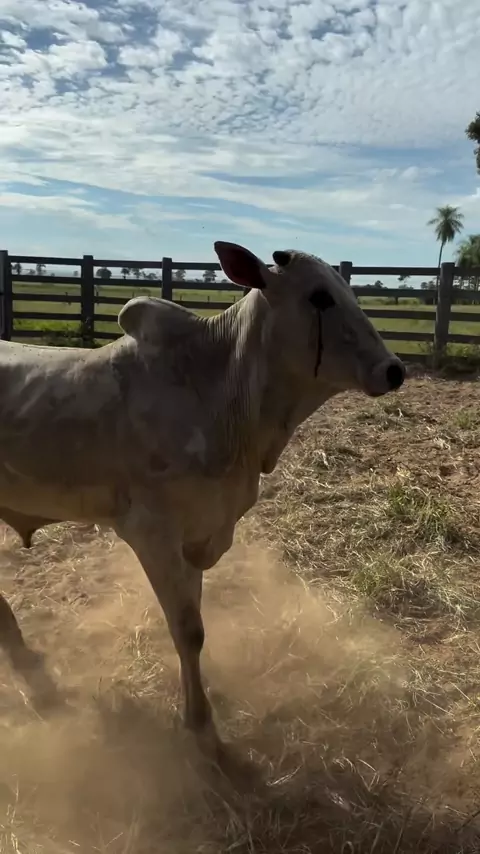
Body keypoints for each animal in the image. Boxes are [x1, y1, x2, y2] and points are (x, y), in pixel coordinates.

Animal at [0, 241, 405, 756]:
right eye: (319, 297)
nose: (393, 369)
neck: (221, 390)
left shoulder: (198, 533)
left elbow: (194, 626)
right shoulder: (151, 532)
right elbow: (188, 630)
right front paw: (200, 723)